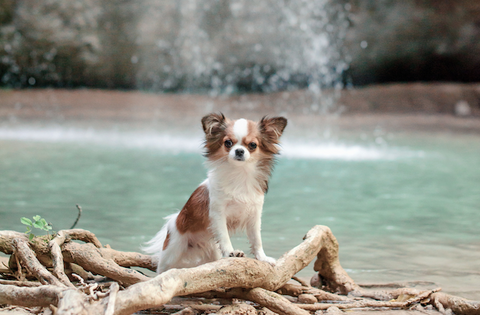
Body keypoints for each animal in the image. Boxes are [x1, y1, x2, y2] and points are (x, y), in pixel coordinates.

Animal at [142, 113, 284, 274]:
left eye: (253, 145)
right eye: (228, 143)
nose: (239, 151)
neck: (239, 174)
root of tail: (175, 219)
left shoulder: (254, 215)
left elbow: (256, 240)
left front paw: (262, 258)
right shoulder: (217, 213)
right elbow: (224, 236)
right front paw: (230, 252)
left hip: (212, 251)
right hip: (173, 250)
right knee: (163, 268)